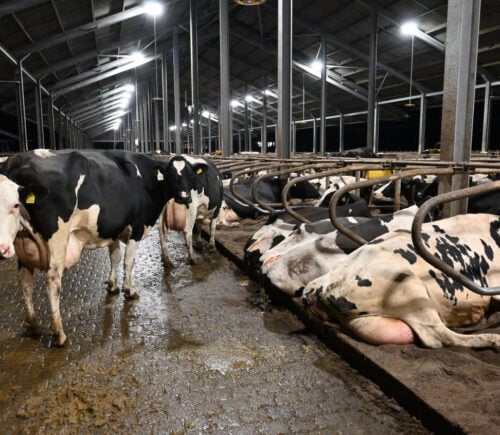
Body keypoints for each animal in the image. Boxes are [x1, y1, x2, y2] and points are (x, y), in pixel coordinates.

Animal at [0, 150, 175, 348]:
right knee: (53, 281)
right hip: (58, 240)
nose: (186, 198)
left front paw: (113, 285)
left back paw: (32, 324)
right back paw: (59, 333)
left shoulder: (111, 228)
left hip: (21, 245)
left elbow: (114, 256)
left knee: (25, 279)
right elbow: (129, 261)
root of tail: (16, 159)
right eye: (174, 175)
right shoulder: (136, 228)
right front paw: (129, 290)